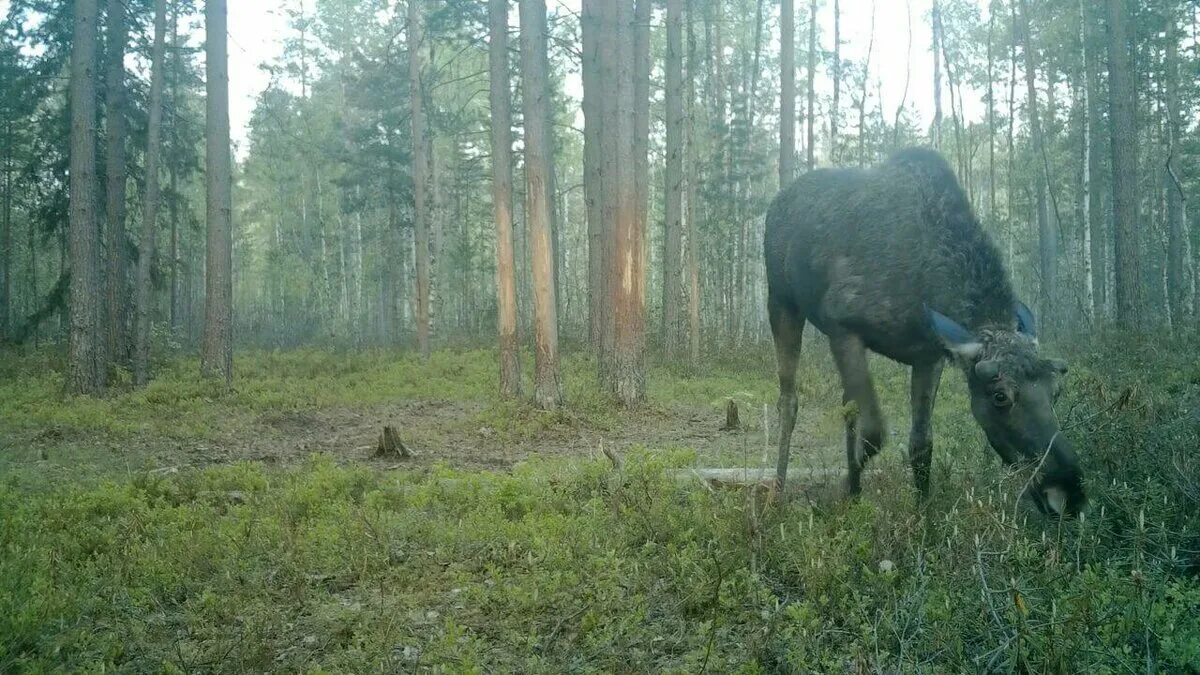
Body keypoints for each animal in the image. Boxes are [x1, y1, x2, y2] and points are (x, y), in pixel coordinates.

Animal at [768, 148, 1089, 514]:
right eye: (999, 396)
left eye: (1057, 391)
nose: (1068, 493)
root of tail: (776, 202)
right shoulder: (843, 326)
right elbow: (874, 432)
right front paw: (842, 491)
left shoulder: (929, 355)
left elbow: (921, 443)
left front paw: (924, 516)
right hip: (782, 302)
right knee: (789, 400)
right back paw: (775, 494)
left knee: (846, 405)